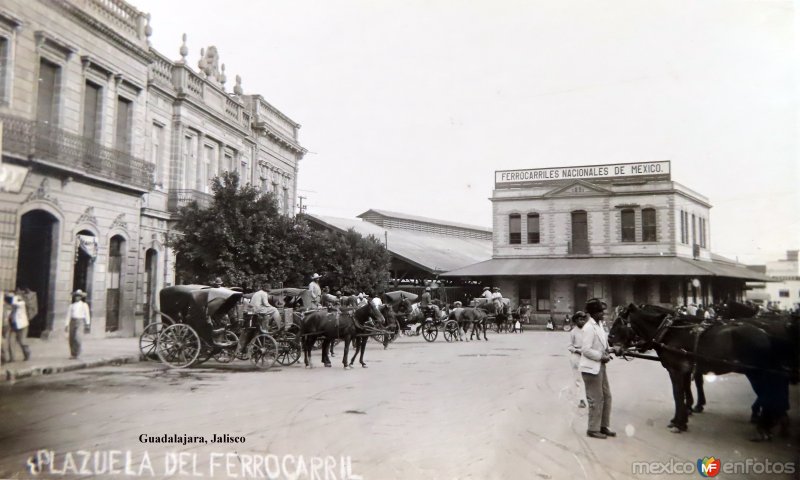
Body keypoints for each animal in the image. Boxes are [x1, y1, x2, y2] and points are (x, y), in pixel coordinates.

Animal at [612, 304, 788, 438]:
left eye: (618, 324)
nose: (609, 342)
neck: (668, 332)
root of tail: (765, 334)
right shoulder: (685, 371)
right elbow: (685, 392)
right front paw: (682, 417)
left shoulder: (676, 371)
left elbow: (678, 395)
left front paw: (679, 423)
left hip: (756, 373)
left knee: (769, 393)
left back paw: (766, 424)